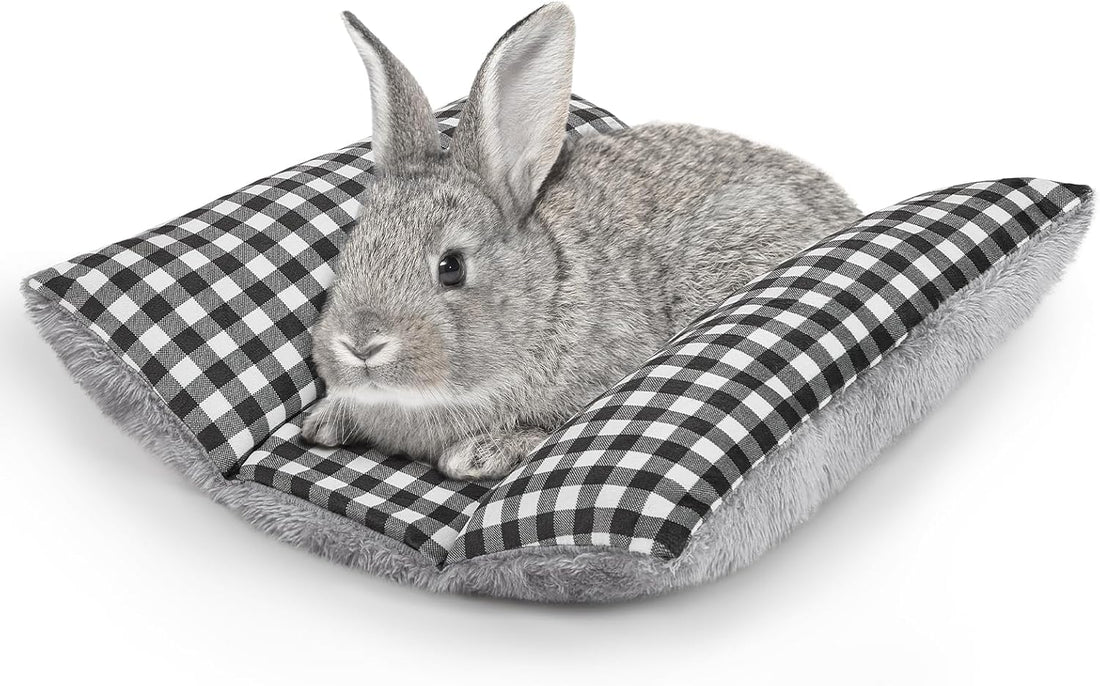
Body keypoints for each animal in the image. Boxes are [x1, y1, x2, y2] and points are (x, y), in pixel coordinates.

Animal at [302, 4, 861, 480]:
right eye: (348, 253)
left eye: (451, 267)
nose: (361, 344)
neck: (543, 292)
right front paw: (324, 419)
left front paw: (480, 453)